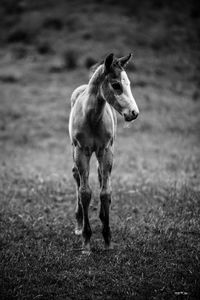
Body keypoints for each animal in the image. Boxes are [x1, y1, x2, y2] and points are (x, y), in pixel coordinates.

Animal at [69, 52, 139, 252]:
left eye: (128, 83)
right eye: (116, 85)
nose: (134, 113)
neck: (92, 117)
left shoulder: (106, 151)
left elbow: (105, 192)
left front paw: (107, 239)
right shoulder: (81, 151)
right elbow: (85, 192)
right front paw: (86, 240)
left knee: (101, 176)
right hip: (75, 150)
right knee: (76, 176)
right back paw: (79, 224)